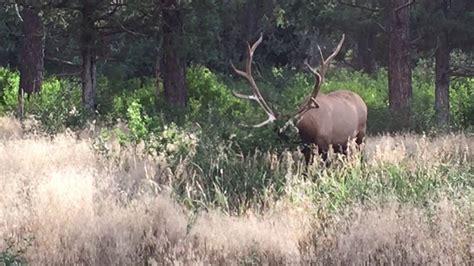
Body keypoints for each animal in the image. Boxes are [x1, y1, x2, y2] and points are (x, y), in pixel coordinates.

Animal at [231, 33, 368, 162]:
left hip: (361, 133)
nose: (278, 147)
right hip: (342, 143)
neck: (310, 130)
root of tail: (361, 100)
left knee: (360, 153)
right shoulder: (306, 148)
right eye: (275, 129)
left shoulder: (324, 143)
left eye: (288, 130)